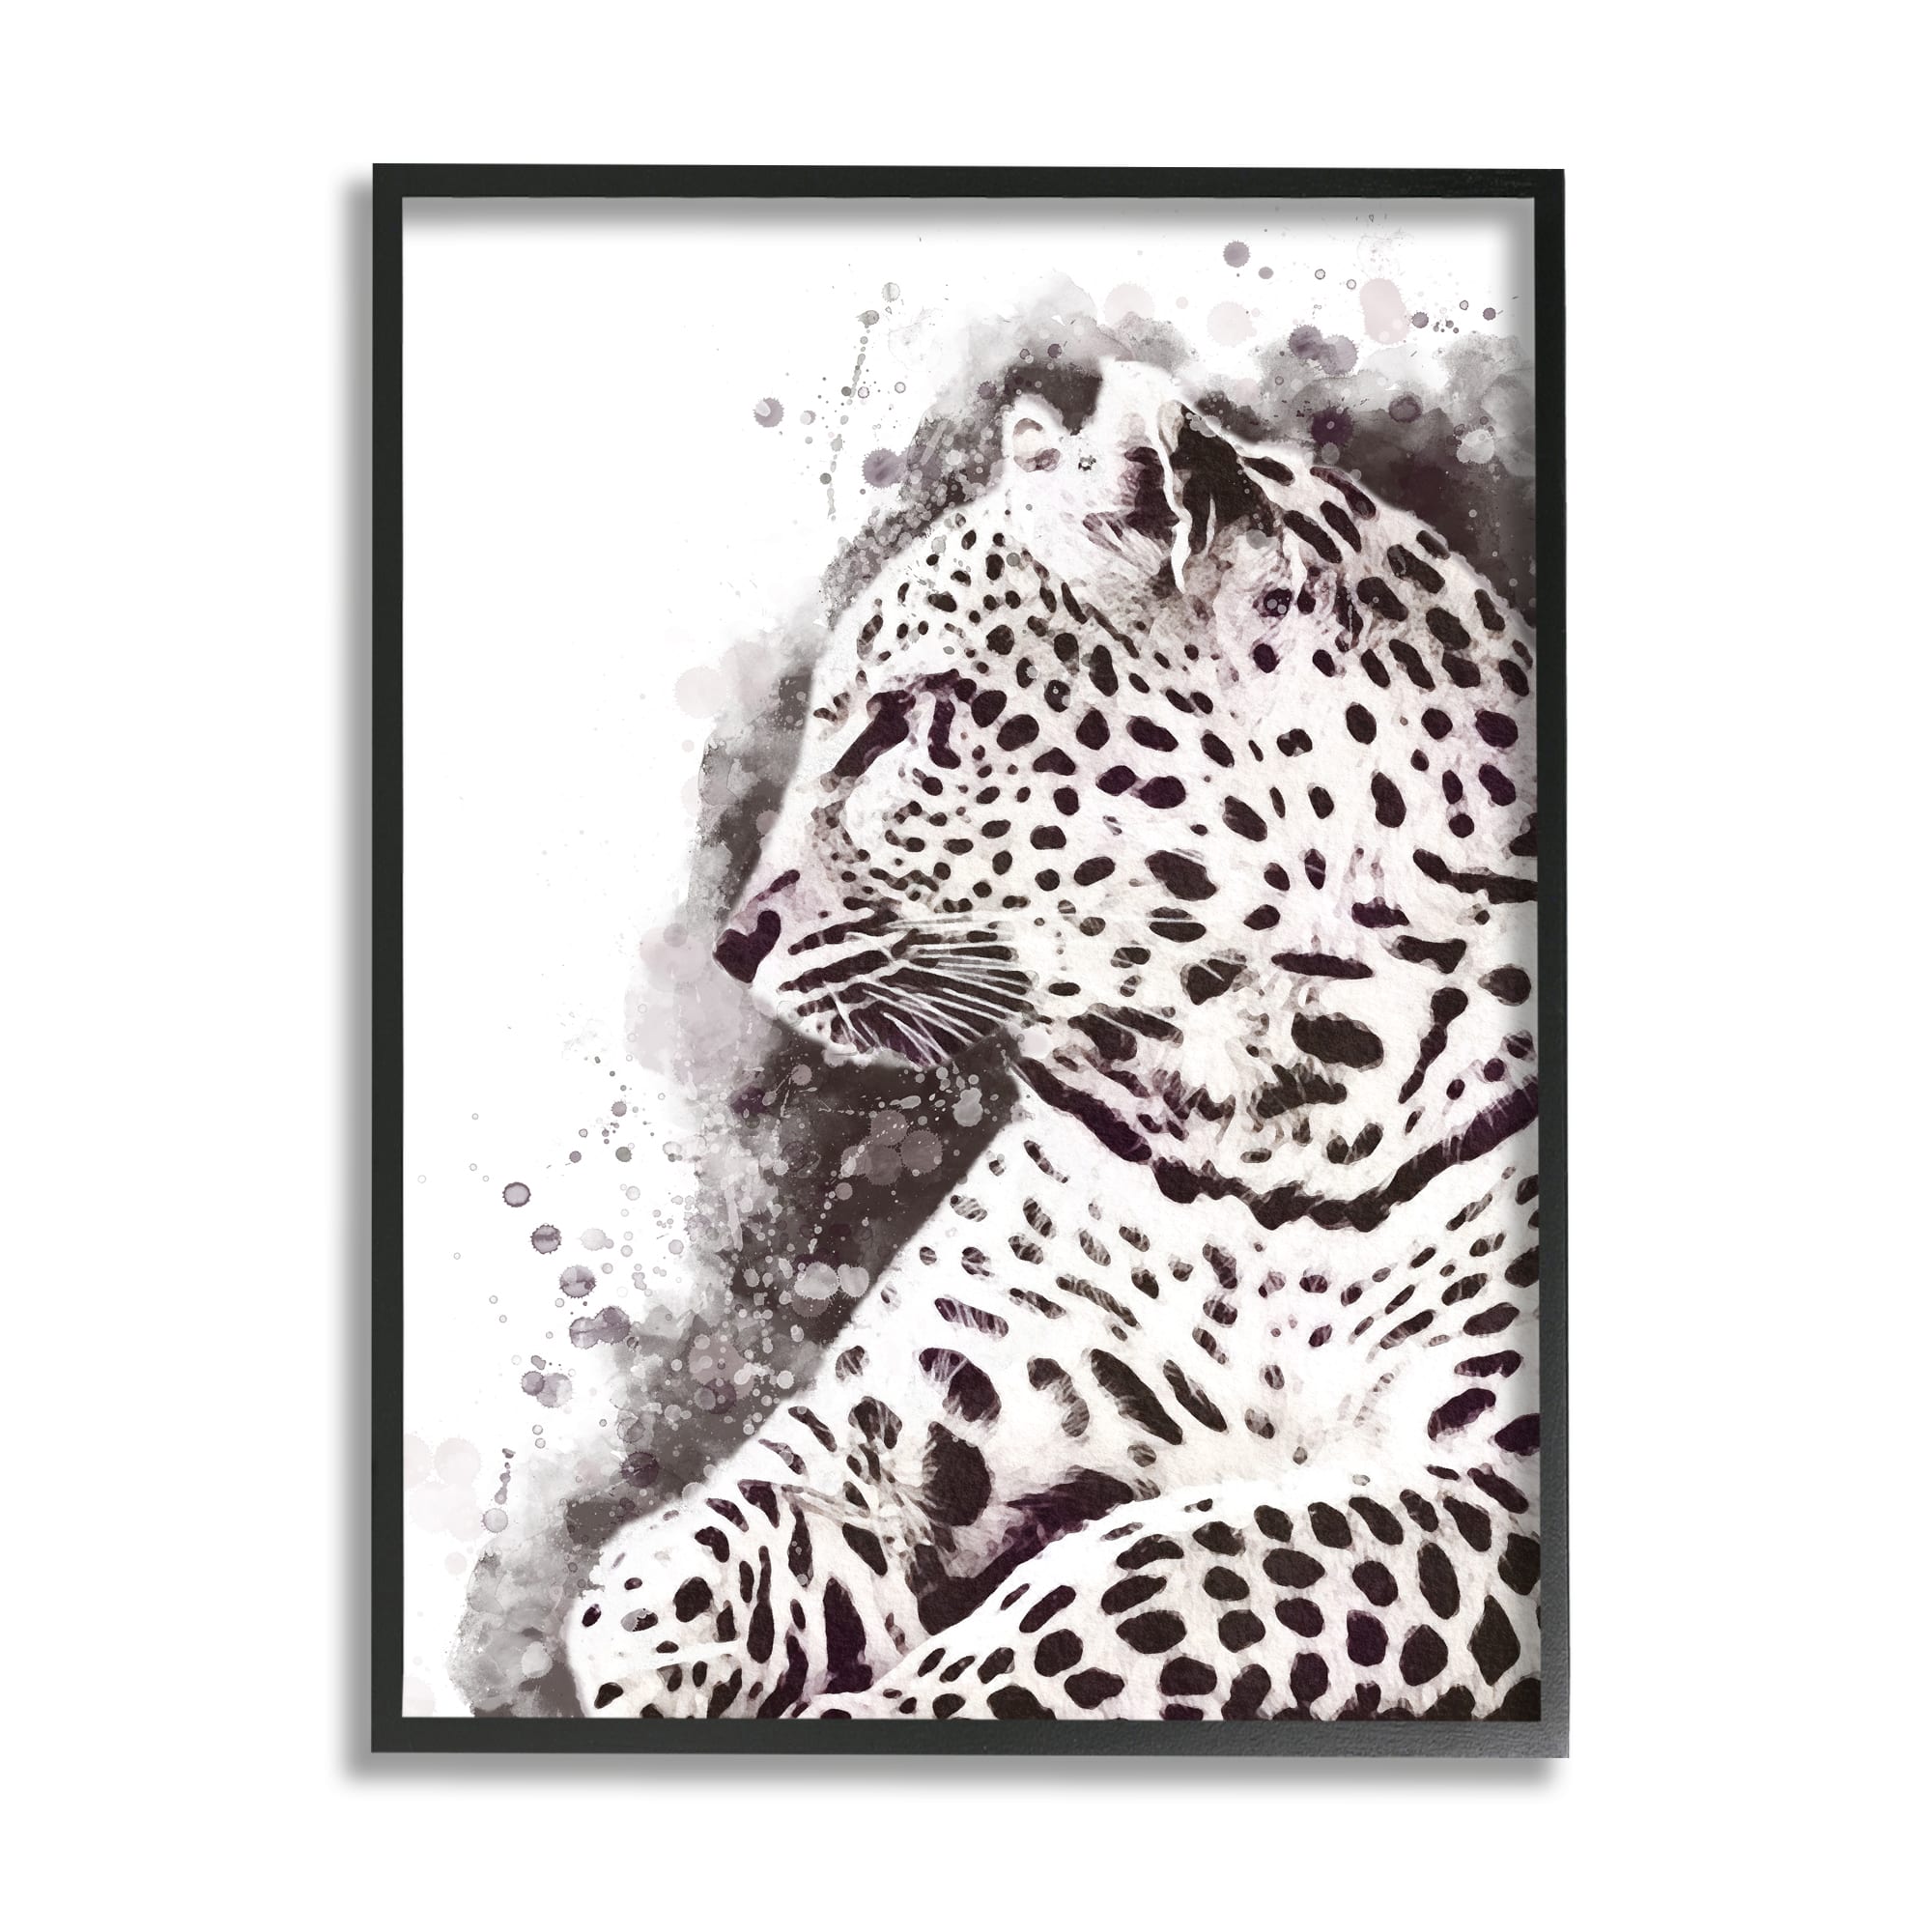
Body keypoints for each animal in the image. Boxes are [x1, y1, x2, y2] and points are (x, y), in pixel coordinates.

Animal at [566, 360, 1542, 1723]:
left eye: (902, 722)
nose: (734, 940)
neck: (1259, 1113)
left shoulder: (1487, 1482)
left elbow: (1150, 1577)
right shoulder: (889, 1431)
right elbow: (676, 1563)